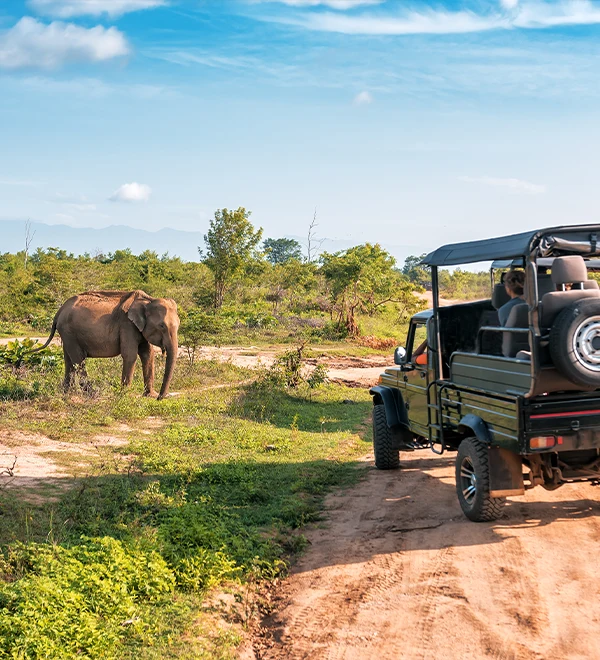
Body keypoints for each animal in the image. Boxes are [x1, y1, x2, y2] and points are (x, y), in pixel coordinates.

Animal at [35, 288, 179, 398]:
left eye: (179, 325)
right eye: (161, 326)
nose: (160, 397)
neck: (148, 300)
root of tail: (59, 311)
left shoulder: (139, 328)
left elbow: (147, 355)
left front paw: (150, 395)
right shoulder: (127, 325)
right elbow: (130, 355)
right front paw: (124, 395)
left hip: (67, 334)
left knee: (69, 360)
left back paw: (66, 393)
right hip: (69, 332)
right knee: (78, 359)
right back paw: (92, 393)